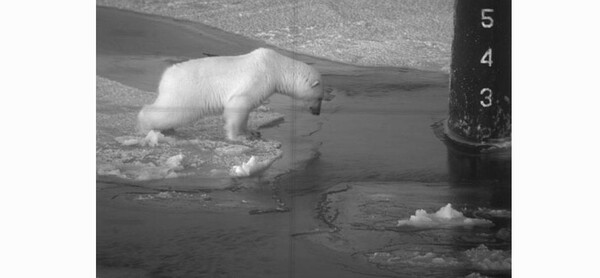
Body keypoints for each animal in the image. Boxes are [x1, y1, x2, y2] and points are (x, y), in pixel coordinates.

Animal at [138, 47, 324, 141]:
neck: (276, 66)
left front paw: (251, 132)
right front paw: (236, 137)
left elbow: (246, 110)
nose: (317, 112)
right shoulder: (258, 78)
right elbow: (239, 103)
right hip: (184, 93)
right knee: (169, 112)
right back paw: (146, 125)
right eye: (320, 97)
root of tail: (166, 77)